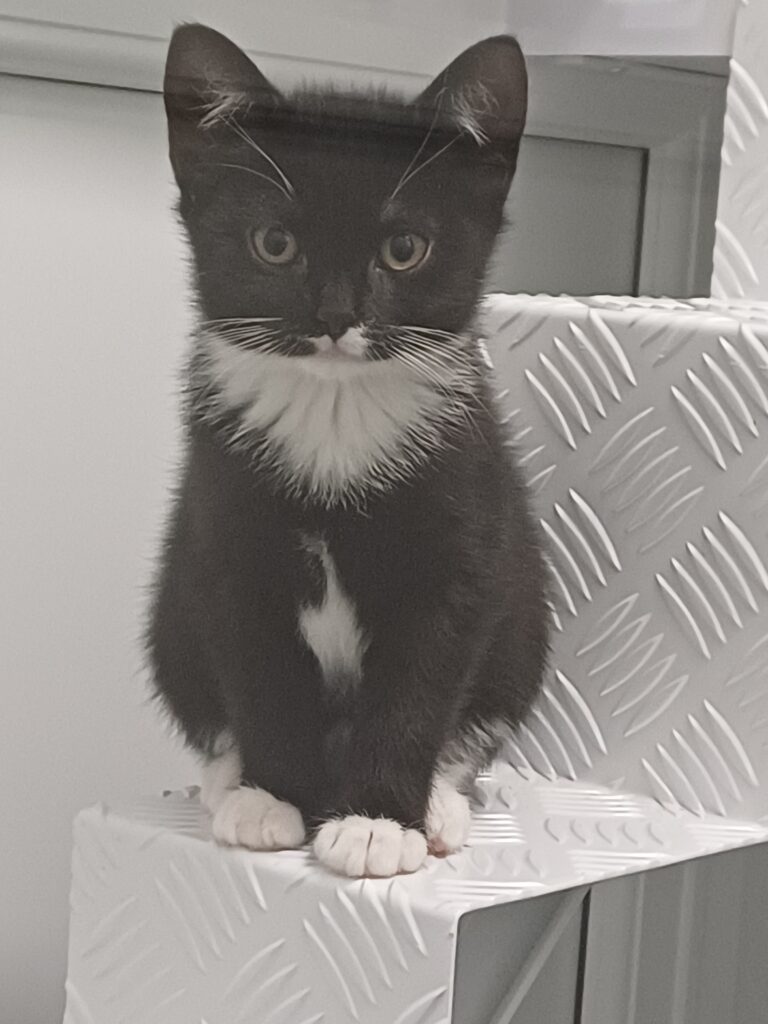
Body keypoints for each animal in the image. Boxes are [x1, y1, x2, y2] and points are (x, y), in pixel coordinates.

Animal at [149, 23, 549, 879]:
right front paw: (275, 799)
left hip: (524, 616)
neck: (335, 413)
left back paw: (439, 803)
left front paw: (377, 822)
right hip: (170, 617)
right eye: (274, 243)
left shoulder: (463, 534)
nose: (335, 316)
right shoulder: (225, 540)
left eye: (404, 249)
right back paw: (230, 784)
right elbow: (260, 673)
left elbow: (421, 682)